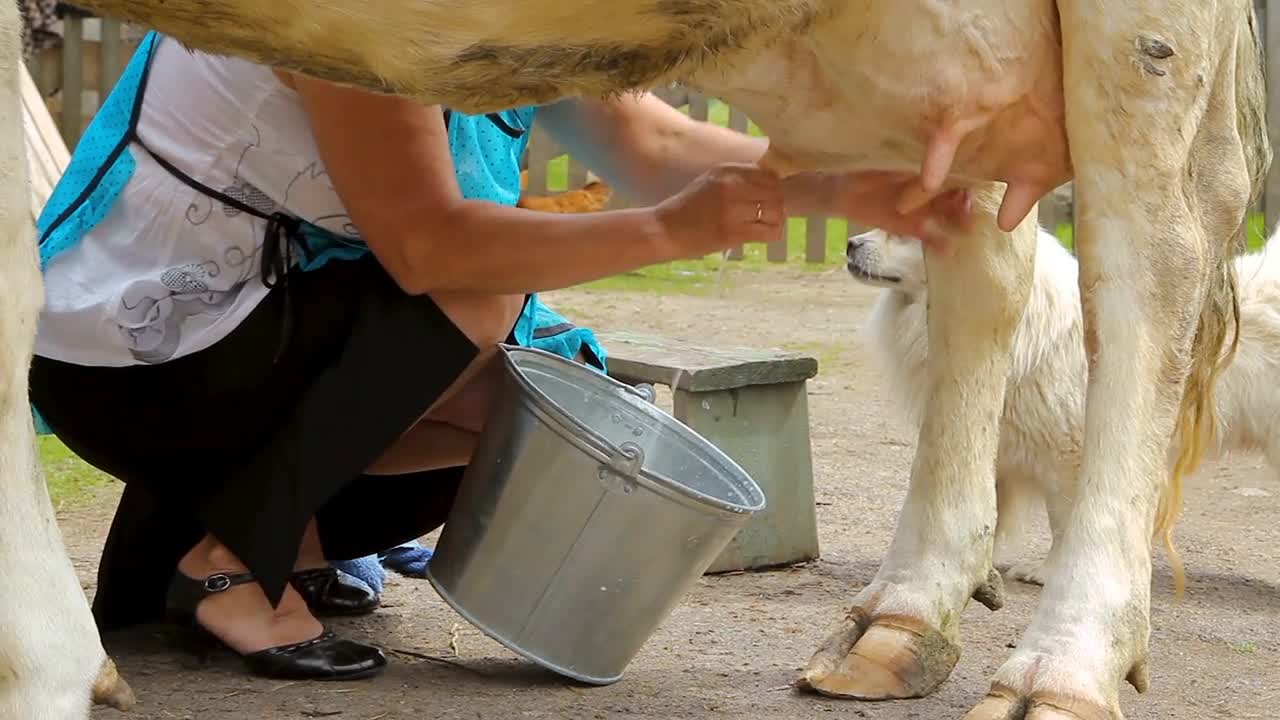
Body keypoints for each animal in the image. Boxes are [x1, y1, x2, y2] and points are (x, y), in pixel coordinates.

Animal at [849, 225, 1280, 584]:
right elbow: (984, 510)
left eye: (908, 233)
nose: (851, 243)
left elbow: (1062, 522)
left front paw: (1046, 572)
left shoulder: (1067, 455)